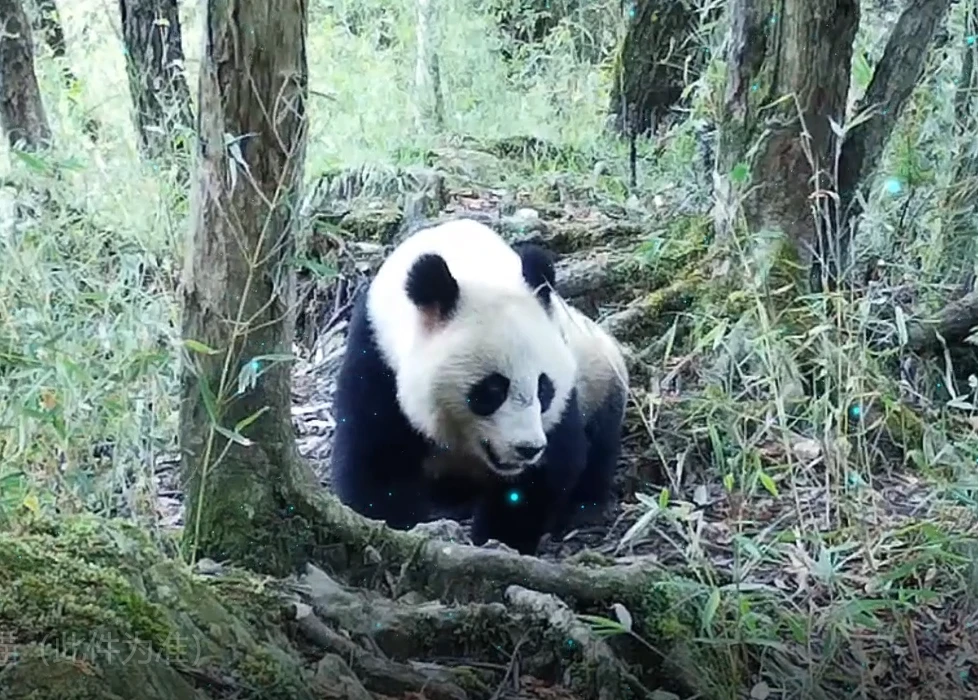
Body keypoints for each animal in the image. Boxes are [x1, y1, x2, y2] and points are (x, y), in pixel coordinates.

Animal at [328, 216, 624, 556]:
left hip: (600, 369)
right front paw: (398, 525)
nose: (527, 448)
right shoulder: (375, 355)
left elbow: (554, 463)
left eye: (544, 389)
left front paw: (501, 538)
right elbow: (376, 460)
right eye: (492, 390)